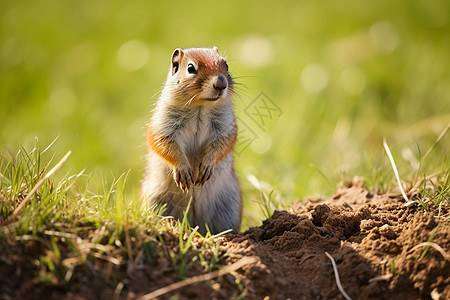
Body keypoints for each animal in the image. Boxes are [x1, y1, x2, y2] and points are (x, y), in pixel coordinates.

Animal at [143, 46, 243, 234]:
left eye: (226, 65)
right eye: (190, 68)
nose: (221, 84)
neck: (200, 106)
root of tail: (196, 225)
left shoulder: (226, 127)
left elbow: (224, 143)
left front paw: (207, 166)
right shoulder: (163, 124)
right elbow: (163, 143)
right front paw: (183, 169)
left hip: (230, 206)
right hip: (155, 200)